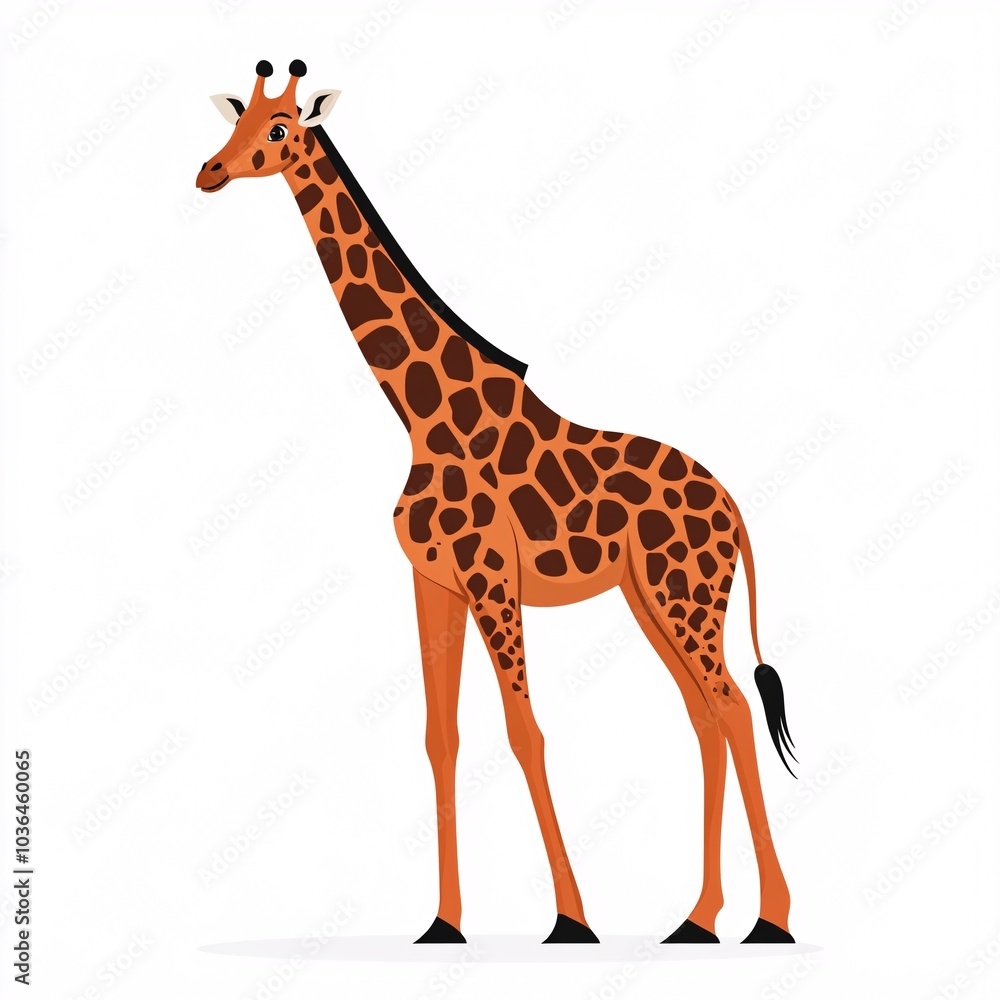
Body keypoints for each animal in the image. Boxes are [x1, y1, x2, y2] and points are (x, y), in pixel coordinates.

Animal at [196, 60, 798, 946]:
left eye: (278, 131)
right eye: (236, 122)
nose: (209, 171)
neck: (418, 417)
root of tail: (736, 512)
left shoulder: (491, 578)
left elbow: (524, 732)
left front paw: (572, 920)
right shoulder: (433, 580)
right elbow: (440, 737)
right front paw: (443, 922)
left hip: (684, 595)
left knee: (734, 712)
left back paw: (769, 921)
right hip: (652, 598)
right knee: (704, 719)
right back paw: (697, 919)